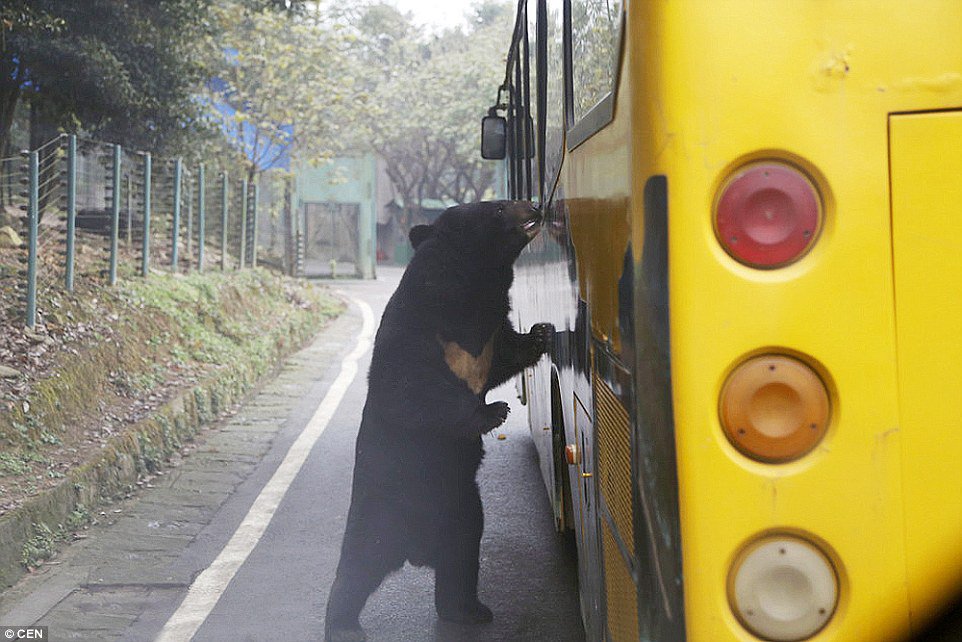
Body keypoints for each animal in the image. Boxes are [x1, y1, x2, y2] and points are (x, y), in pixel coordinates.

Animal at [322, 201, 552, 640]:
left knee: (461, 560)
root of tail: (414, 549)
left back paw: (469, 610)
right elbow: (414, 385)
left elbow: (506, 354)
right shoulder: (421, 326)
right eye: (499, 208)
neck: (471, 287)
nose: (534, 204)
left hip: (463, 511)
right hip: (381, 511)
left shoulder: (486, 334)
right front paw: (494, 411)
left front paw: (542, 332)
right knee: (357, 566)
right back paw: (343, 625)